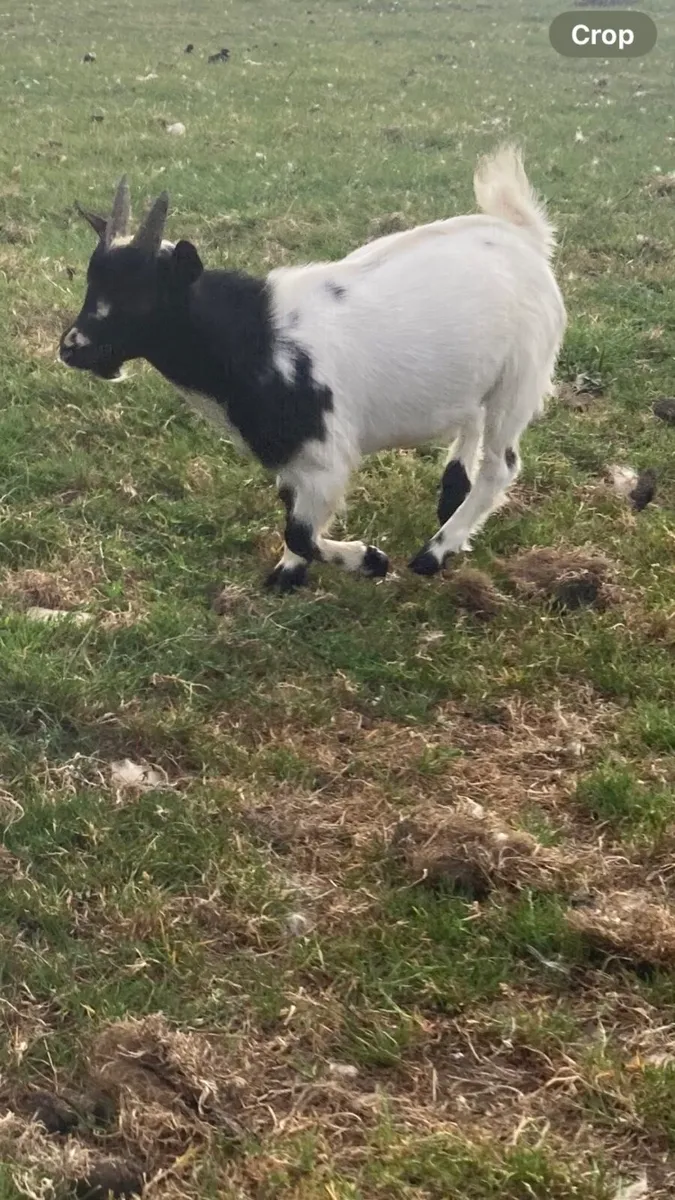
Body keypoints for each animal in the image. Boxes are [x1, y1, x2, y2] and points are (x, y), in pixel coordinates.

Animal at [59, 146, 566, 593]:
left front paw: (371, 560)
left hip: (521, 376)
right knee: (472, 418)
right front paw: (290, 573)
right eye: (91, 281)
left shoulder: (324, 455)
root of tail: (523, 237)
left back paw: (435, 551)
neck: (255, 336)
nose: (71, 348)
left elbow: (300, 531)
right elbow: (291, 515)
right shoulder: (290, 457)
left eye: (141, 295)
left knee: (501, 466)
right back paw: (451, 494)